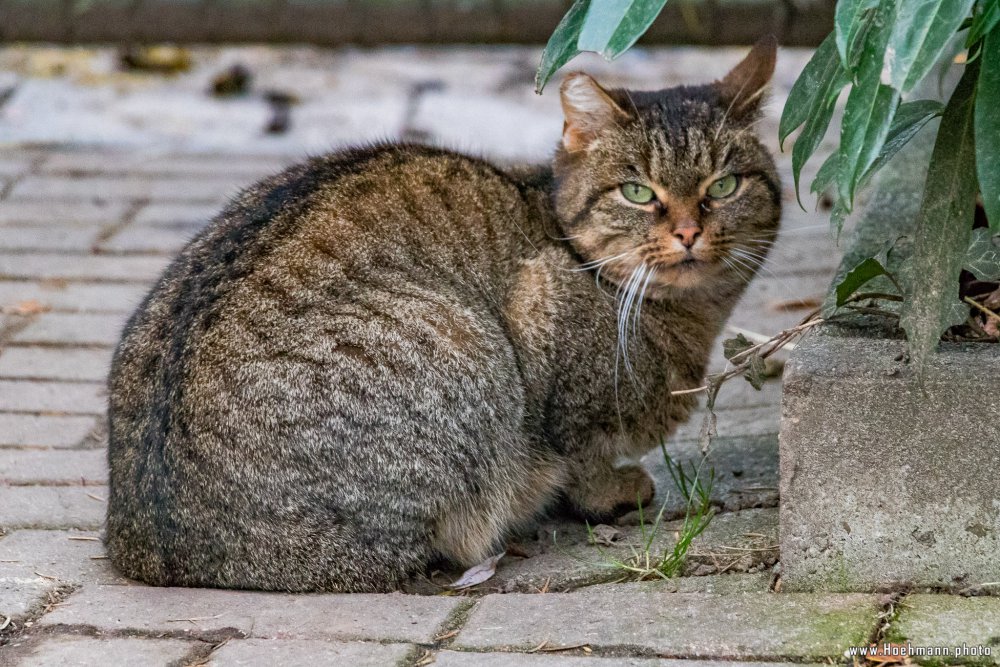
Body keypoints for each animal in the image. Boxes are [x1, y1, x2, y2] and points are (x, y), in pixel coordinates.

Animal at [107, 36, 780, 592]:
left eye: (723, 186)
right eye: (638, 192)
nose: (689, 231)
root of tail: (163, 548)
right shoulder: (545, 344)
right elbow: (580, 458)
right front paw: (614, 490)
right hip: (464, 341)